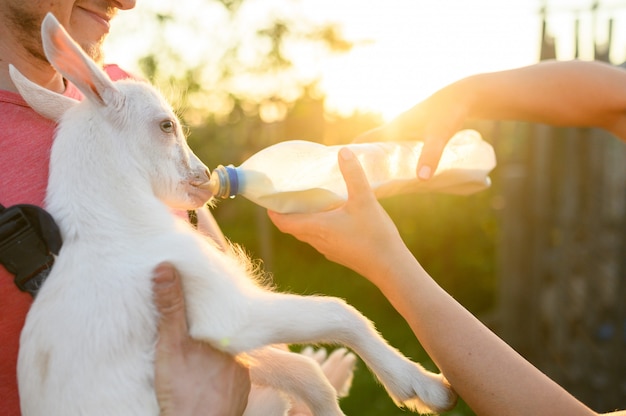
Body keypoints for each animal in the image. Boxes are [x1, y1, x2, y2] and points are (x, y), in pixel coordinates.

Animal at [12, 13, 456, 416]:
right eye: (166, 125)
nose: (203, 175)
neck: (114, 226)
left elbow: (303, 372)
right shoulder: (226, 313)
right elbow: (338, 311)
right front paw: (424, 386)